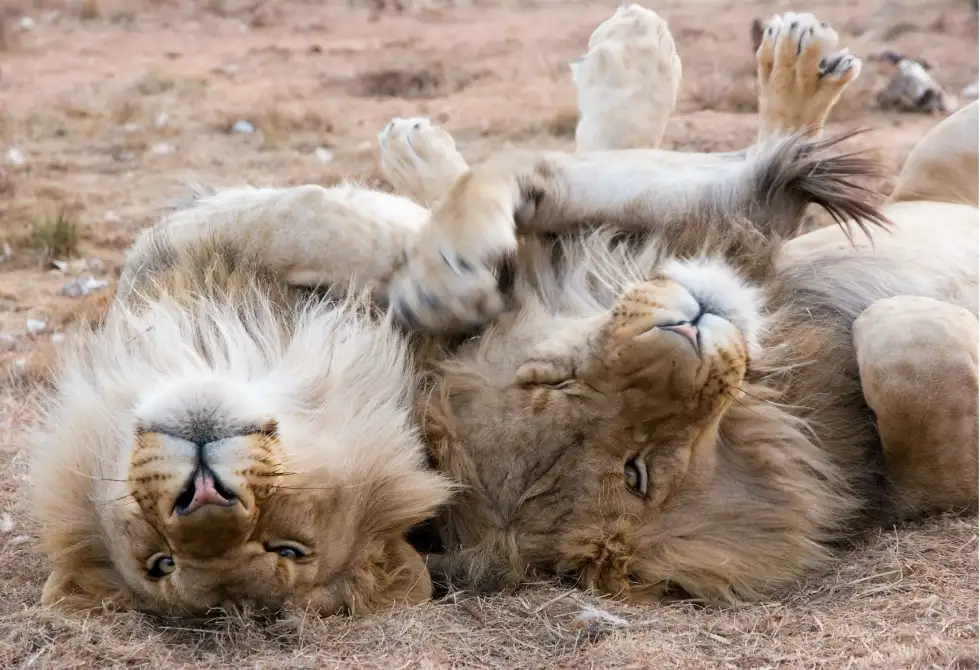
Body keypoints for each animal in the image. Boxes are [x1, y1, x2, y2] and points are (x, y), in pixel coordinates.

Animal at [379, 6, 980, 602]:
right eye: (635, 473)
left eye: (549, 378)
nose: (689, 330)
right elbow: (902, 345)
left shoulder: (711, 220)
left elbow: (520, 170)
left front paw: (442, 276)